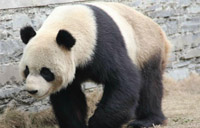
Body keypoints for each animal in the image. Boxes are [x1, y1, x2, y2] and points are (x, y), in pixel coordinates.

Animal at [19, 2, 171, 128]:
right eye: (27, 70)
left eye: (46, 72)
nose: (32, 90)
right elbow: (68, 98)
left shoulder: (103, 45)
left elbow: (123, 82)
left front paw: (96, 123)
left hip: (145, 47)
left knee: (149, 84)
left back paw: (147, 120)